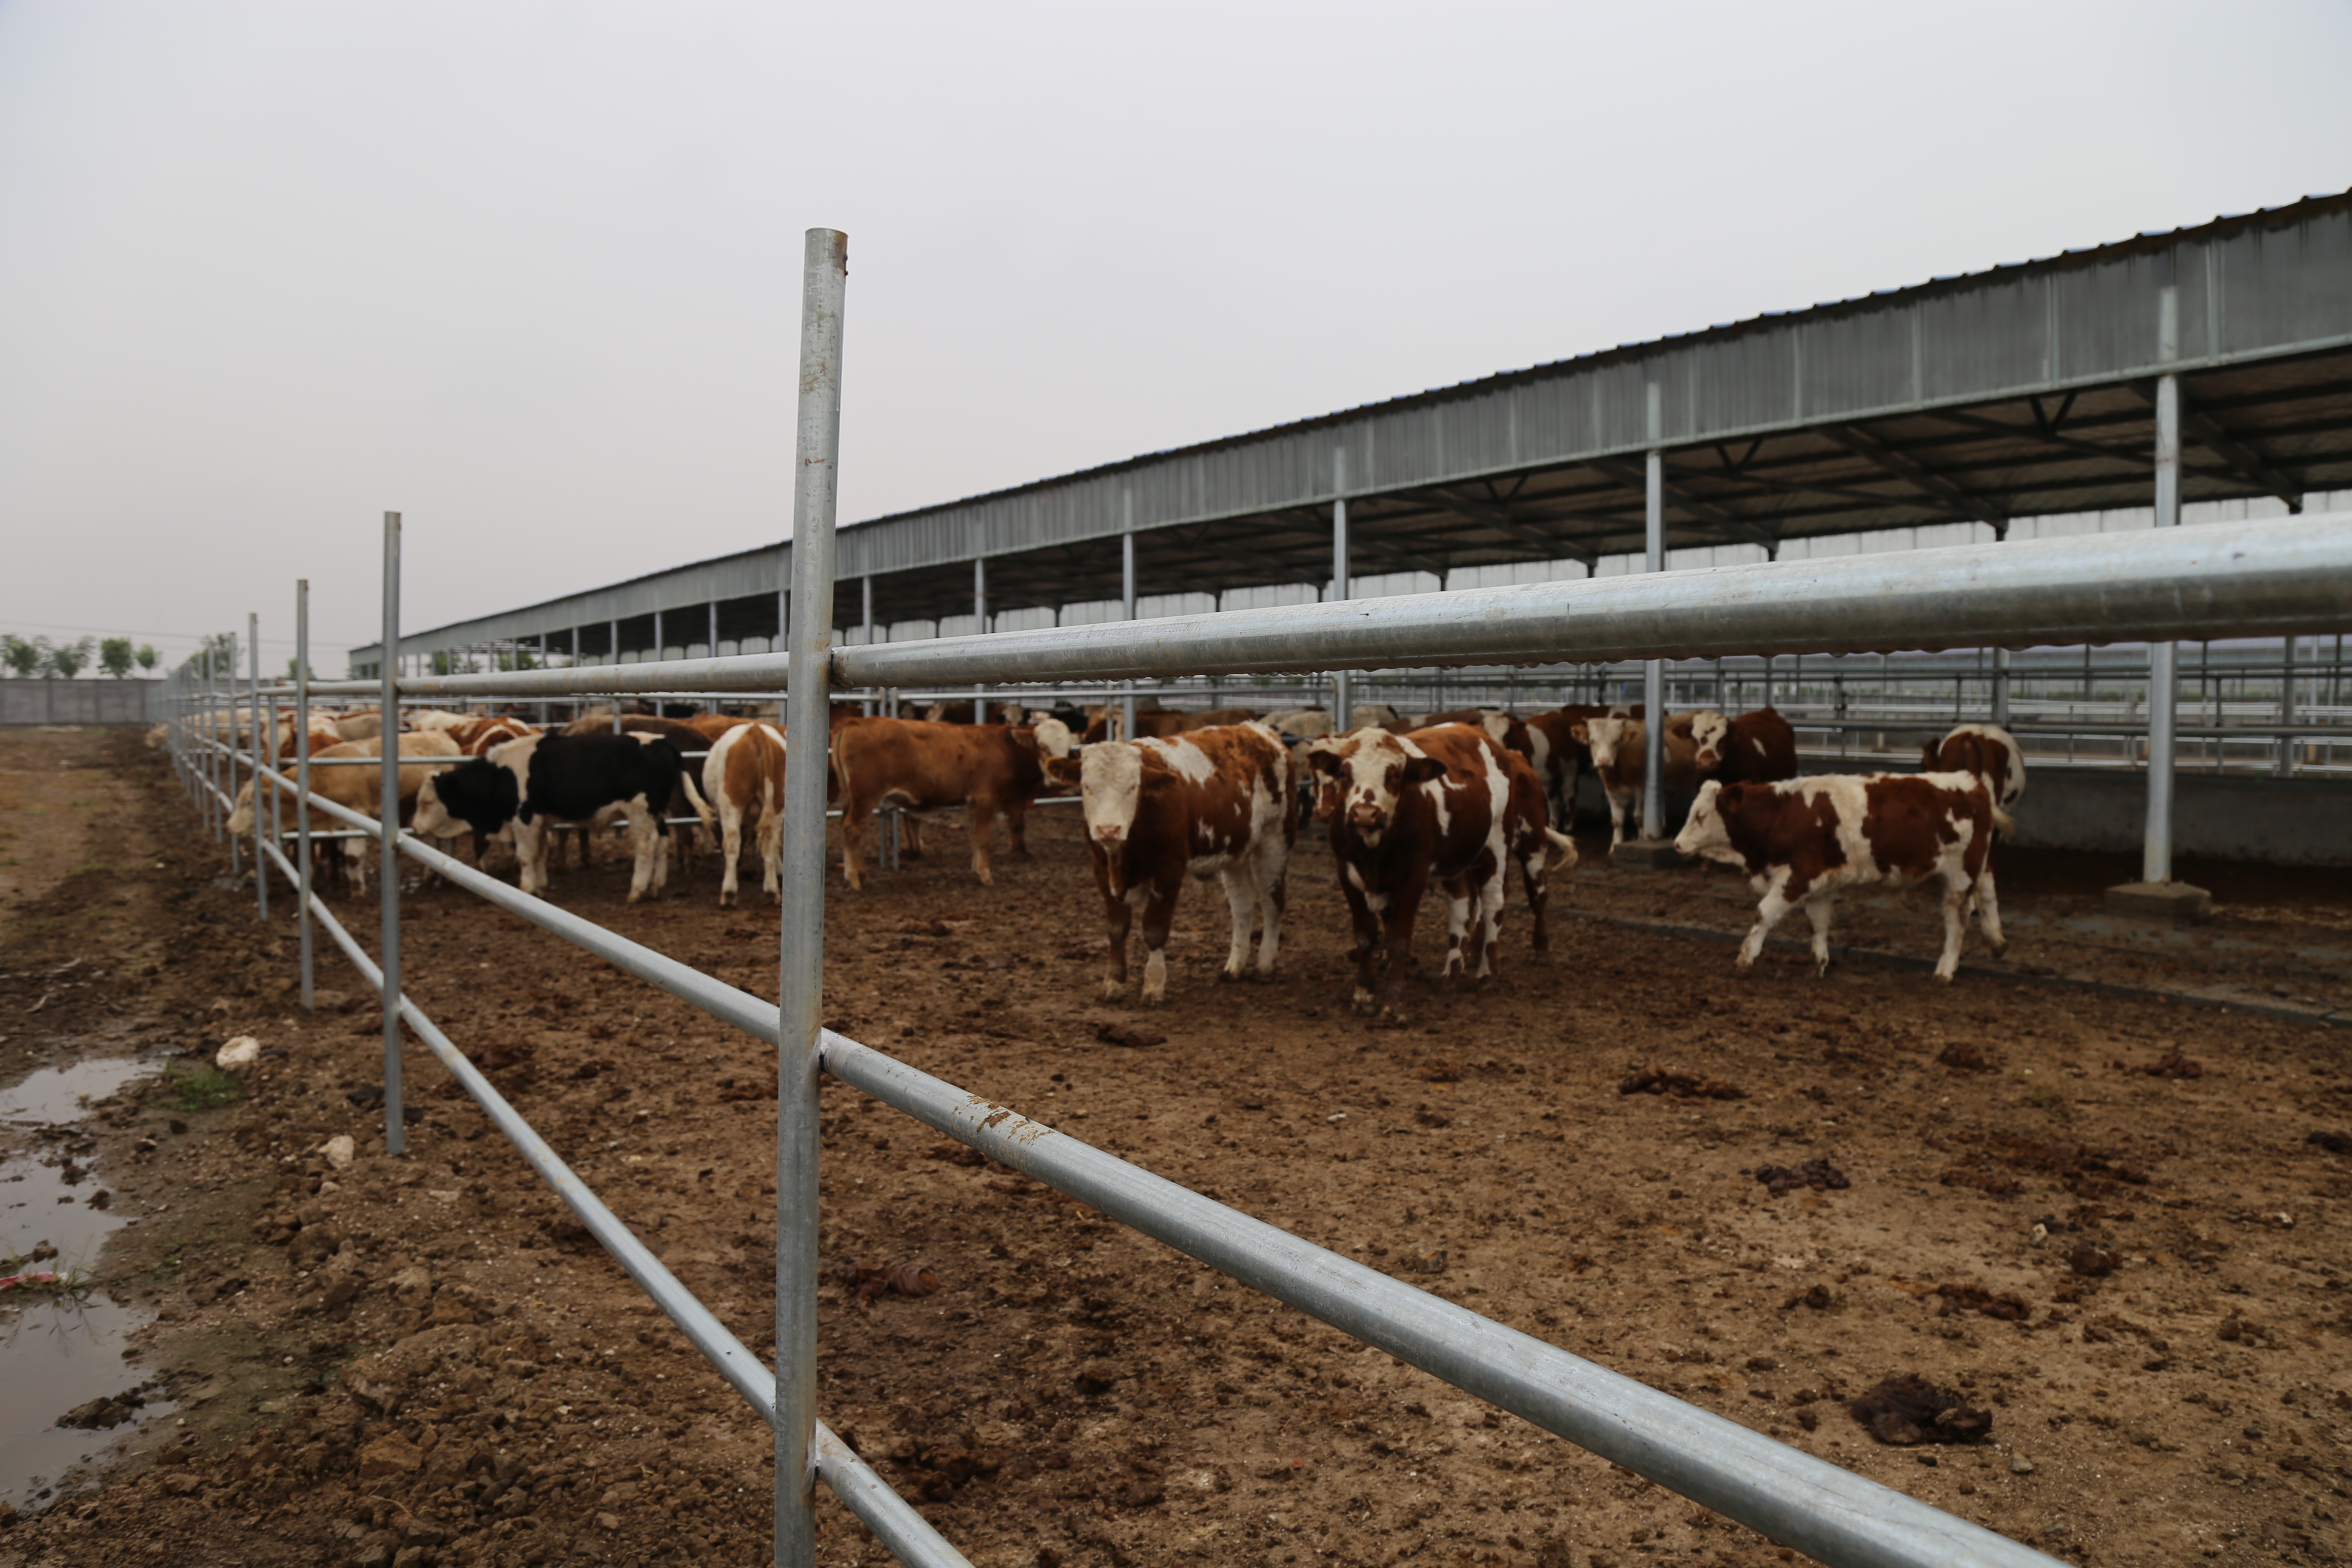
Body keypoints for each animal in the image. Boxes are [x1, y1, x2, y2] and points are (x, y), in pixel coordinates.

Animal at [411, 731, 710, 902]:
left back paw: (636, 891)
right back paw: (655, 887)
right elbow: (540, 854)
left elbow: (526, 856)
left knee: (646, 847)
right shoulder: (541, 821)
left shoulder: (525, 818)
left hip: (640, 812)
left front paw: (526, 888)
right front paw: (541, 887)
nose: (414, 828)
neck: (502, 776)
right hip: (656, 812)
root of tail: (660, 741)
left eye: (427, 802)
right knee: (662, 842)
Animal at [831, 718, 1074, 889]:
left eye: (1067, 750)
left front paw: (977, 869)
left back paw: (863, 875)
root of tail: (855, 722)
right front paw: (985, 874)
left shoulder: (975, 803)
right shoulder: (985, 799)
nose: (1056, 780)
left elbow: (975, 837)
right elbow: (983, 837)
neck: (1007, 750)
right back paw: (855, 879)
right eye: (1042, 747)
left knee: (850, 829)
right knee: (852, 829)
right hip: (865, 796)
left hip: (851, 798)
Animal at [1042, 723, 1296, 1003]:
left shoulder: (1169, 870)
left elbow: (1155, 930)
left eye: (1133, 787)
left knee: (1273, 900)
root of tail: (1259, 730)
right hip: (1235, 850)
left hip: (1276, 838)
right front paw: (1113, 983)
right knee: (1242, 904)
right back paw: (1235, 966)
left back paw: (1265, 964)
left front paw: (1154, 985)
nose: (1109, 830)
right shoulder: (1101, 869)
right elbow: (1117, 929)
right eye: (1087, 786)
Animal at [1306, 724, 1574, 1020]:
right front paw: (1364, 995)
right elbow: (1366, 936)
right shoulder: (1348, 874)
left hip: (1515, 842)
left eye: (1395, 774)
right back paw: (1454, 969)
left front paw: (1394, 1005)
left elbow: (1399, 941)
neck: (1374, 849)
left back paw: (1499, 967)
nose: (1365, 814)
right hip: (1460, 860)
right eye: (1343, 773)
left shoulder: (1413, 877)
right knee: (1463, 902)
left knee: (1508, 900)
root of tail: (1508, 753)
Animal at [1673, 773, 2013, 982]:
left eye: (1701, 815)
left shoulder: (1799, 875)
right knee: (1988, 890)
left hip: (1961, 873)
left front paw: (1746, 957)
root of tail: (1973, 782)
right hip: (1978, 866)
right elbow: (1818, 922)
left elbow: (1764, 913)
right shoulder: (1821, 883)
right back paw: (1997, 942)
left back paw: (1946, 969)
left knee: (1958, 918)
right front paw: (1820, 963)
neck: (1783, 814)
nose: (1677, 844)